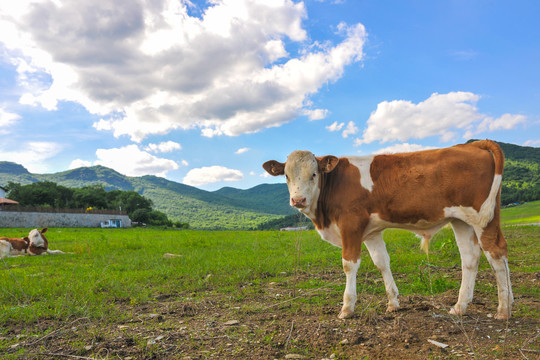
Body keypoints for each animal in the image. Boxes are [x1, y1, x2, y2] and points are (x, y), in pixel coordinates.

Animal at [264, 139, 512, 320]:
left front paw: (347, 308)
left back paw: (503, 310)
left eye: (314, 174)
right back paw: (461, 306)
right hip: (461, 220)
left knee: (496, 252)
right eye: (286, 176)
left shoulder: (351, 224)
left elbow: (349, 265)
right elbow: (382, 262)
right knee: (470, 258)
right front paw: (393, 303)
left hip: (483, 218)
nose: (298, 200)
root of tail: (472, 144)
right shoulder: (372, 232)